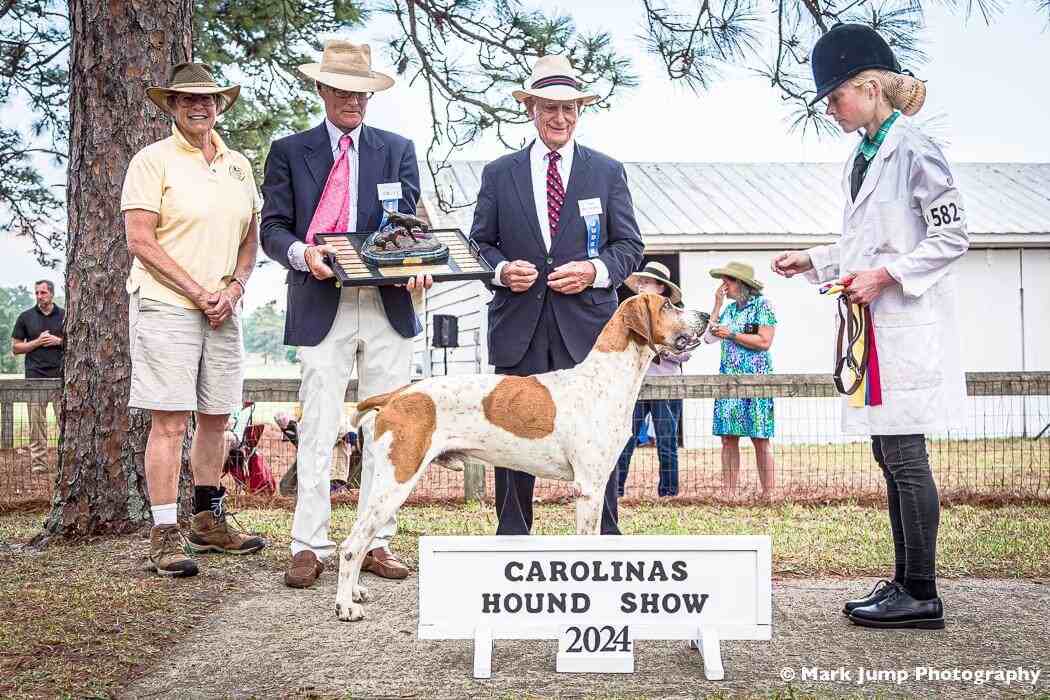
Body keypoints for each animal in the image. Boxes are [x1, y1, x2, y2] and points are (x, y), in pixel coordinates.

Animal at [336, 293, 709, 621]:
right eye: (668, 305)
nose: (706, 316)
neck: (603, 379)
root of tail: (399, 394)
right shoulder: (589, 489)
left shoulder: (600, 484)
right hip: (395, 482)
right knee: (352, 544)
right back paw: (345, 606)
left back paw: (355, 592)